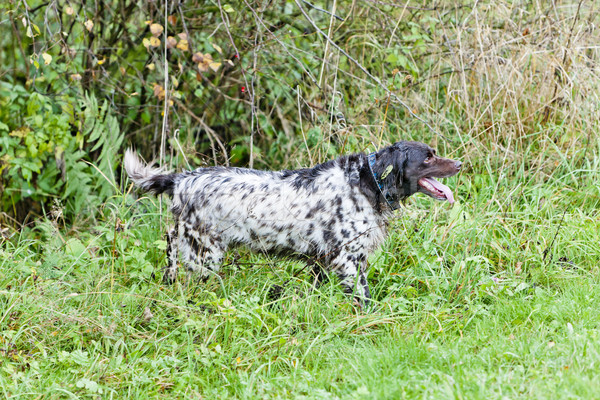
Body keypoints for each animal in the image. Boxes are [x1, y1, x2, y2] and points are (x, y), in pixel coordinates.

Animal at [124, 142, 462, 308]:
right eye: (428, 157)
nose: (459, 164)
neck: (367, 182)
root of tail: (181, 180)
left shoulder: (323, 261)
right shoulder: (348, 260)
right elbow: (365, 299)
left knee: (170, 243)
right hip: (204, 255)